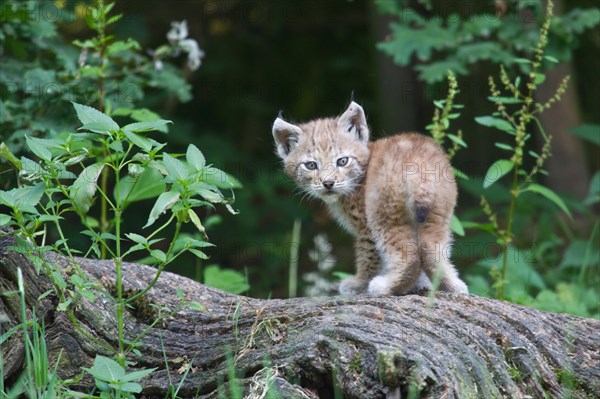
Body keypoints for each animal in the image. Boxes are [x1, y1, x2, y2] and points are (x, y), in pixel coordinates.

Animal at [274, 102, 468, 296]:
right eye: (311, 165)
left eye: (342, 161)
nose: (328, 183)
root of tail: (418, 164)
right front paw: (421, 284)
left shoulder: (364, 227)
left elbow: (367, 257)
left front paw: (359, 284)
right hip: (439, 213)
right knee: (431, 251)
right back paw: (454, 287)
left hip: (383, 214)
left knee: (410, 255)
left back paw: (385, 287)